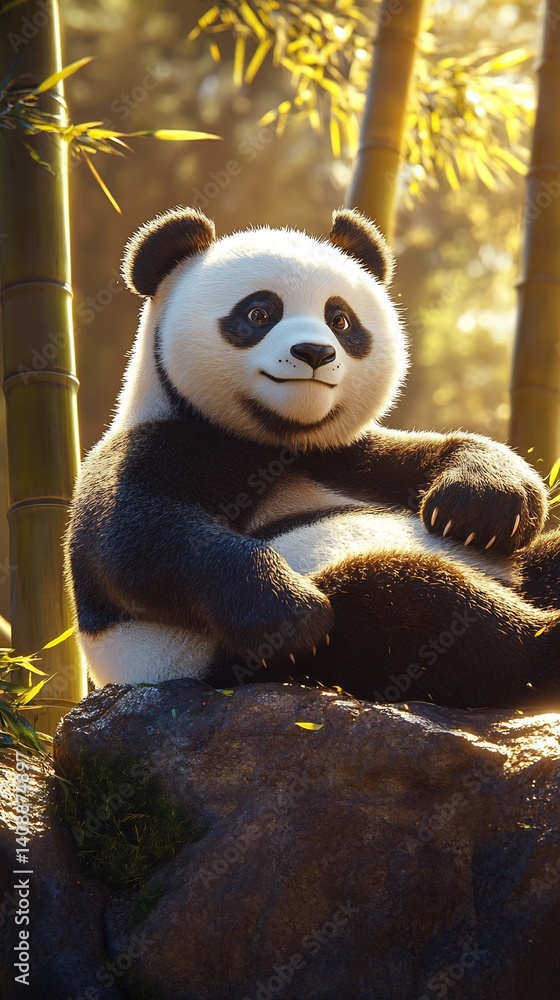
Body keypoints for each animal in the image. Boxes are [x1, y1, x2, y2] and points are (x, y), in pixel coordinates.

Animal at [66, 205, 560, 710]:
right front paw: (288, 613)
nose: (315, 352)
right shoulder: (158, 444)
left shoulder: (342, 457)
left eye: (339, 320)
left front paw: (480, 508)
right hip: (229, 658)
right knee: (413, 606)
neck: (277, 435)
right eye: (259, 313)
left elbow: (433, 454)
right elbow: (132, 544)